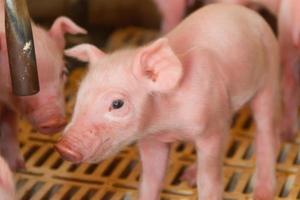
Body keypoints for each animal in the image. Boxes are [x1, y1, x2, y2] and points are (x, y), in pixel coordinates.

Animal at [56, 3, 282, 199]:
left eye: (117, 104)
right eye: (80, 94)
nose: (63, 147)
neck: (168, 125)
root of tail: (245, 12)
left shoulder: (210, 129)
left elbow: (209, 180)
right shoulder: (151, 138)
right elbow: (150, 179)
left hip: (269, 73)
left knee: (265, 130)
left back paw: (262, 193)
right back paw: (188, 176)